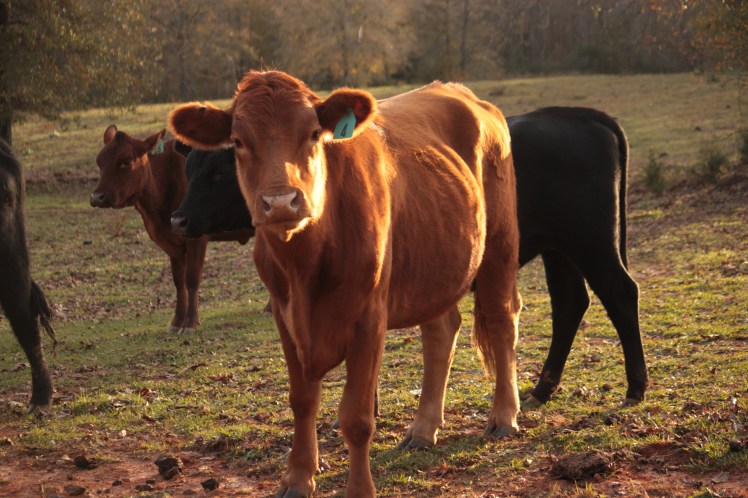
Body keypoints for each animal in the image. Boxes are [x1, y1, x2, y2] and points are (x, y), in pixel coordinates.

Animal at [169, 70, 521, 497]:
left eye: (312, 134)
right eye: (237, 141)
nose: (281, 202)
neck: (307, 264)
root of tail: (460, 92)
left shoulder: (369, 318)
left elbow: (356, 417)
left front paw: (358, 488)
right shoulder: (285, 317)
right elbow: (302, 400)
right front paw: (298, 476)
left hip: (499, 245)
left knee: (502, 320)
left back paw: (503, 416)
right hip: (434, 264)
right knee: (441, 331)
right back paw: (423, 429)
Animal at [169, 106, 648, 407]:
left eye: (218, 172)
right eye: (189, 170)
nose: (178, 218)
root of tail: (580, 114)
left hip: (592, 241)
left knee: (620, 293)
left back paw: (636, 387)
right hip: (559, 249)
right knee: (571, 303)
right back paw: (541, 389)